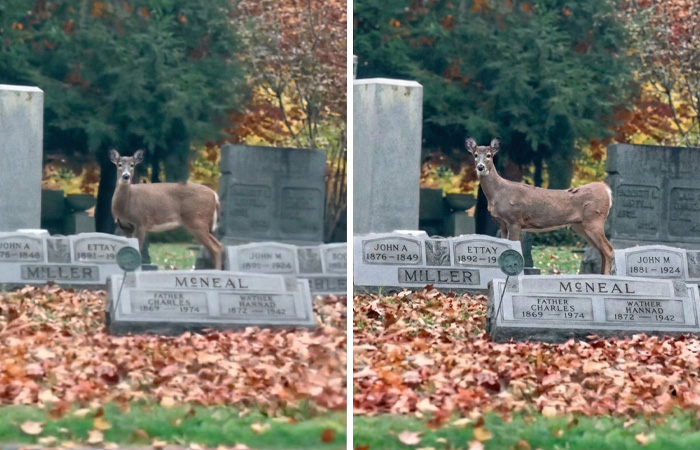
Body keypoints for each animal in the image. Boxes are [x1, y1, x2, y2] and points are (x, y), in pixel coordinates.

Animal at [466, 137, 614, 274]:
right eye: (475, 155)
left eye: (489, 155)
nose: (480, 167)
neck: (498, 193)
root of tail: (607, 190)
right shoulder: (502, 224)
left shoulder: (515, 220)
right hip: (580, 226)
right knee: (602, 250)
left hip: (594, 219)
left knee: (608, 249)